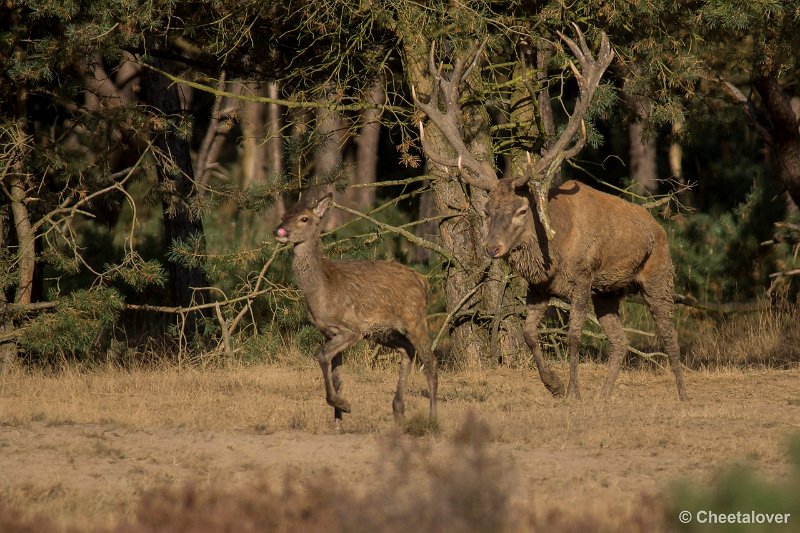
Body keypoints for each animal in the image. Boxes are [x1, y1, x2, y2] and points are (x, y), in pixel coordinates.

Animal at [274, 193, 438, 422]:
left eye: (304, 218)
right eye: (283, 215)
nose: (279, 230)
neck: (322, 291)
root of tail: (423, 282)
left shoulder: (352, 329)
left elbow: (322, 356)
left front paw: (343, 405)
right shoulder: (329, 332)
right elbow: (336, 376)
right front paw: (338, 418)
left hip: (414, 318)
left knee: (431, 361)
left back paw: (432, 417)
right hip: (383, 331)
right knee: (407, 350)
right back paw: (398, 408)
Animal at [412, 25, 688, 400]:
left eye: (520, 209)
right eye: (486, 209)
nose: (492, 247)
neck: (555, 252)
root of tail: (658, 228)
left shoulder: (584, 278)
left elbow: (572, 337)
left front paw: (573, 391)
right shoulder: (540, 287)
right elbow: (529, 334)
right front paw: (554, 385)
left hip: (657, 272)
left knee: (669, 335)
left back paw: (683, 394)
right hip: (609, 291)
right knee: (620, 341)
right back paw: (604, 396)